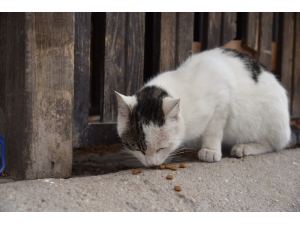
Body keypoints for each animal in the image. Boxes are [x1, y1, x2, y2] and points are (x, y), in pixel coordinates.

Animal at [115, 47, 290, 167]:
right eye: (138, 149)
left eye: (161, 148)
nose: (152, 164)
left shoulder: (222, 99)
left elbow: (213, 129)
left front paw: (210, 150)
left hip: (269, 121)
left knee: (274, 144)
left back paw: (245, 147)